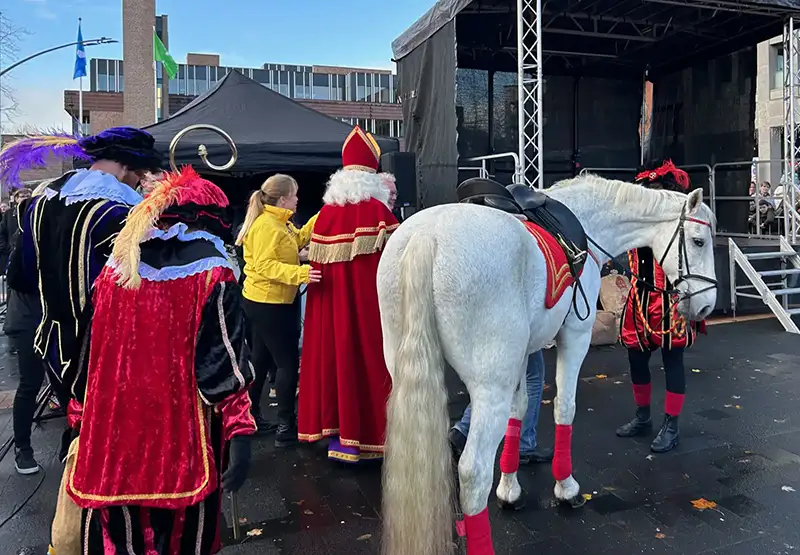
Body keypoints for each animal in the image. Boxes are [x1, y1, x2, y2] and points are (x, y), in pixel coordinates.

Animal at [376, 176, 720, 555]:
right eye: (699, 241)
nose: (707, 306)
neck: (588, 221)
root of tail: (427, 238)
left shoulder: (524, 356)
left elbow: (520, 410)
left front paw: (510, 490)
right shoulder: (575, 335)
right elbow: (564, 408)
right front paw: (566, 487)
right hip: (489, 387)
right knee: (473, 472)